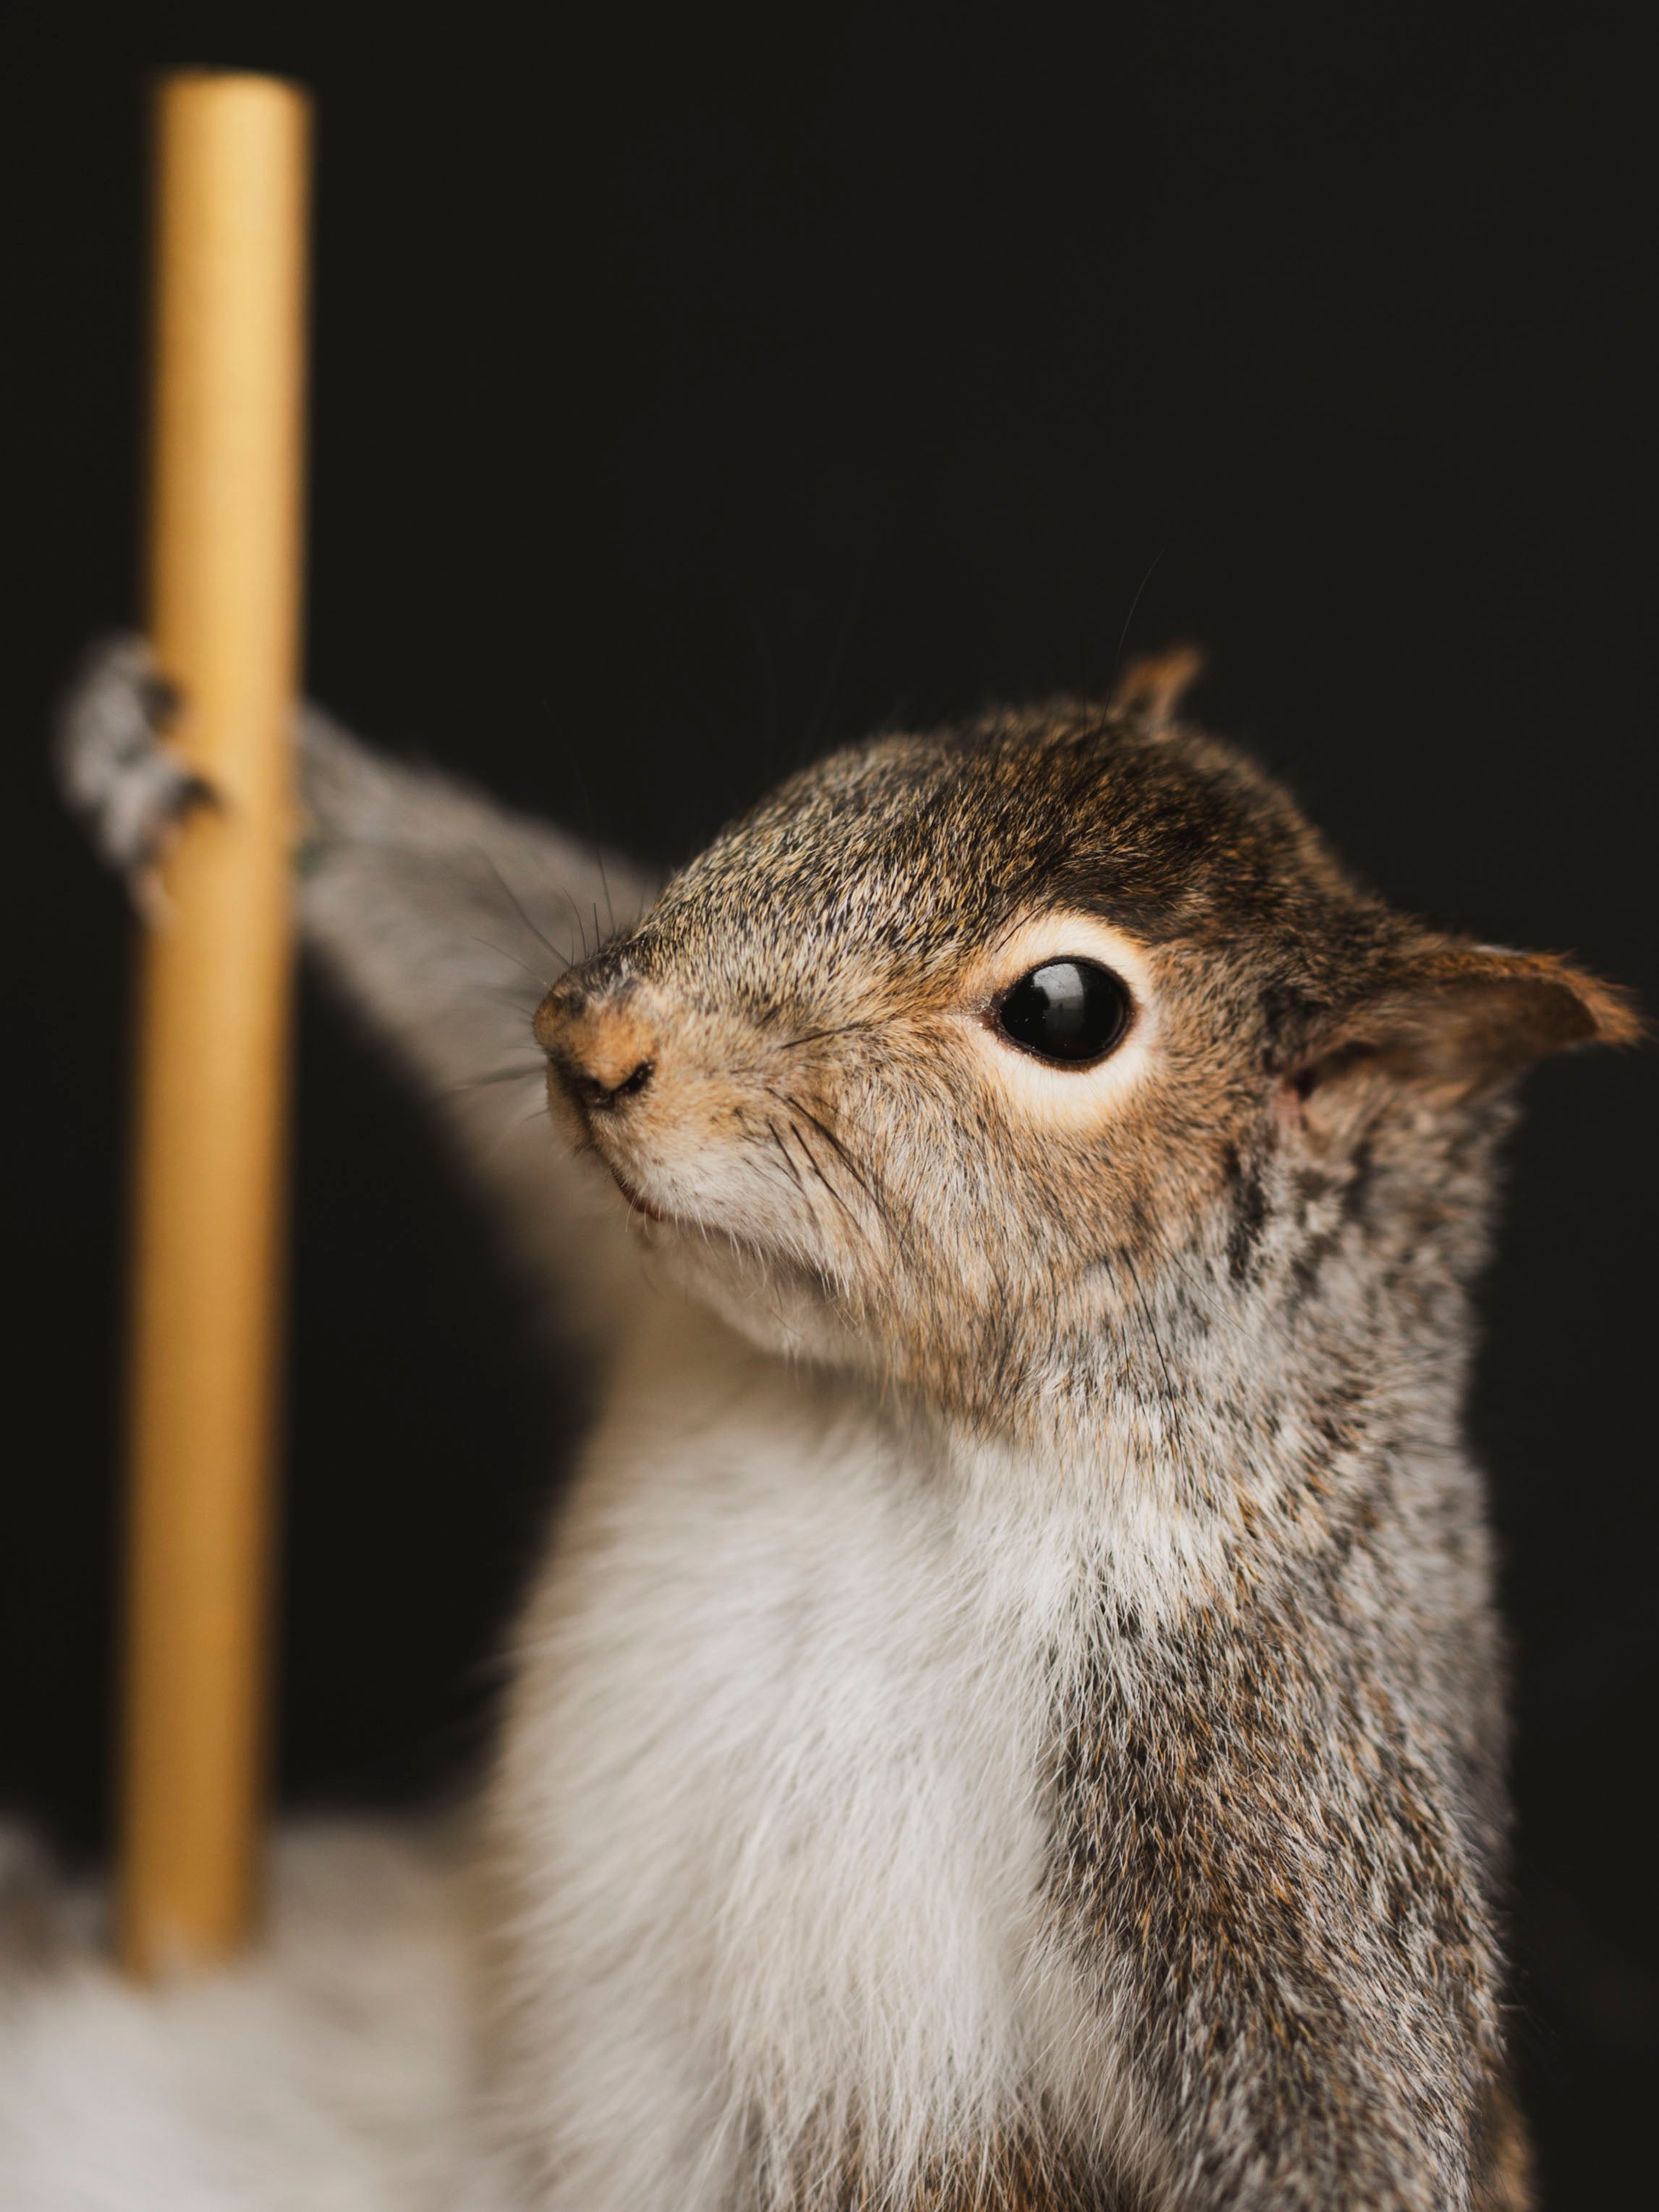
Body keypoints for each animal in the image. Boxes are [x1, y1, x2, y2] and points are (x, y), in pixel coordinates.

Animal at [49, 633, 1639, 2210]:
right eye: (857, 771)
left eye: (1066, 1011)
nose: (587, 1035)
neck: (894, 1426)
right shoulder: (660, 1296)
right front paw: (258, 775)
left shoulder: (1256, 1780)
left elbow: (1351, 2123)